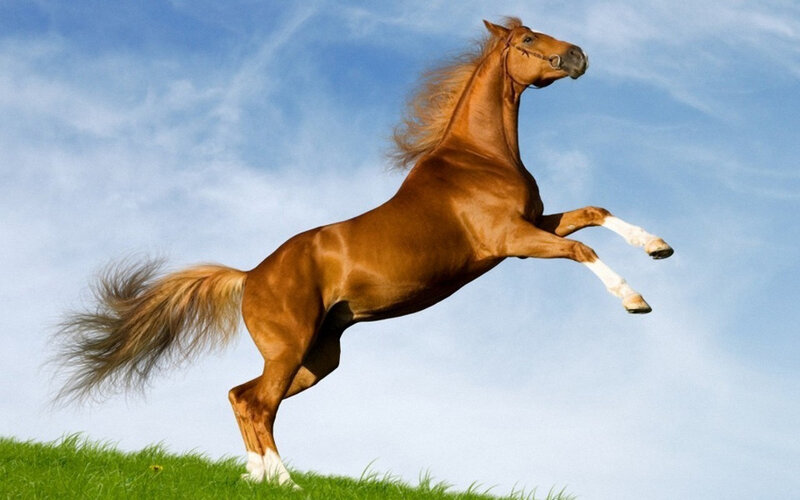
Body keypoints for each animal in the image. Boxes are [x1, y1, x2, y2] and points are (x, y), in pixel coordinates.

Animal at [55, 17, 672, 487]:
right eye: (526, 40)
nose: (579, 55)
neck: (479, 158)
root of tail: (250, 275)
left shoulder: (533, 224)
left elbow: (593, 212)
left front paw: (658, 247)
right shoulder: (512, 241)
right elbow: (582, 249)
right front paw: (636, 300)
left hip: (317, 359)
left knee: (241, 396)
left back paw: (257, 478)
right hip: (290, 349)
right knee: (256, 403)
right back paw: (286, 482)